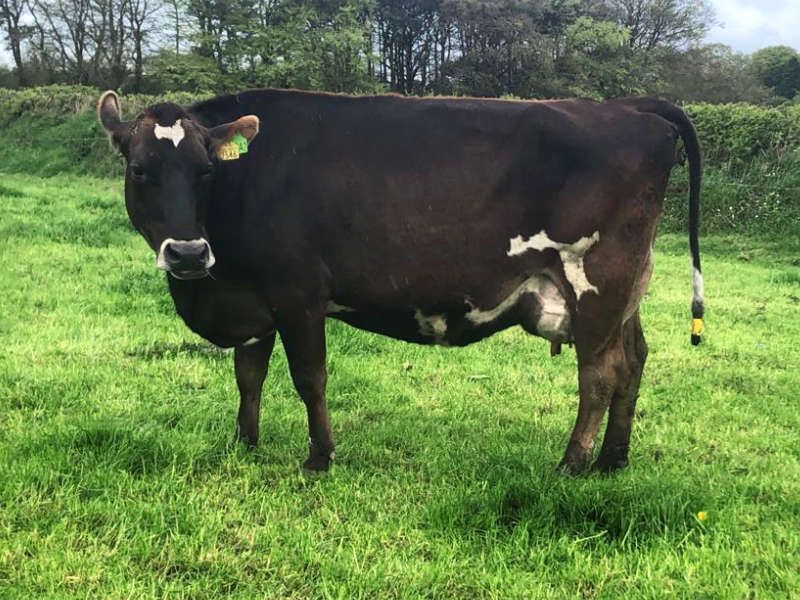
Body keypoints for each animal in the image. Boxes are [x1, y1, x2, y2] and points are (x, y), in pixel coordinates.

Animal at [97, 89, 704, 475]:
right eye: (139, 169)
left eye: (205, 171)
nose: (189, 252)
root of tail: (628, 106)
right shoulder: (254, 299)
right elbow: (249, 376)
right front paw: (245, 444)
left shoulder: (298, 294)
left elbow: (309, 378)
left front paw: (319, 458)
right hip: (627, 290)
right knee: (635, 360)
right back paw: (613, 461)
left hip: (596, 280)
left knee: (600, 374)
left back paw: (572, 465)